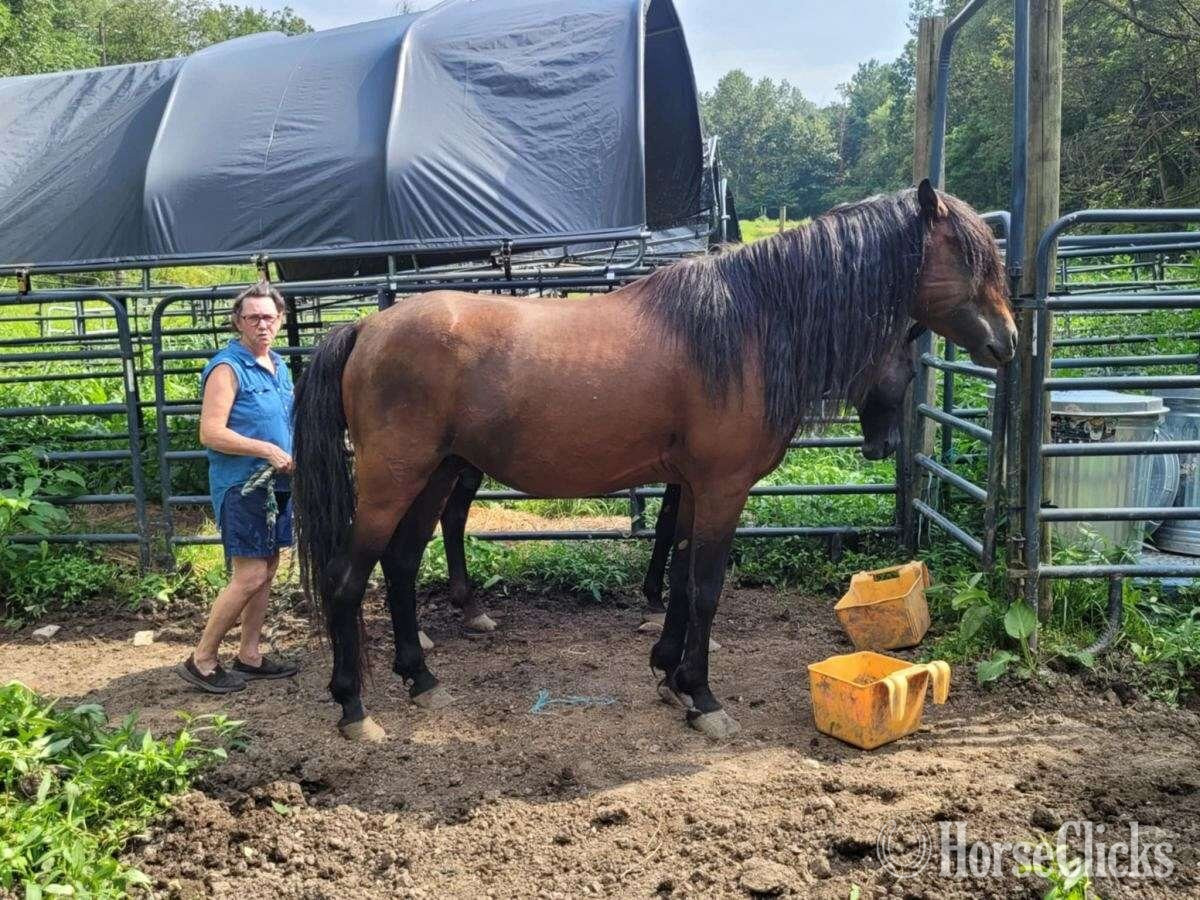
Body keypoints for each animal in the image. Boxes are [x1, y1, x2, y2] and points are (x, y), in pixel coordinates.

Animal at [431, 323, 924, 638]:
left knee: (450, 519)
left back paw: (468, 608)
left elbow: (671, 527)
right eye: (910, 371)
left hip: (463, 463)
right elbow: (670, 528)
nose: (885, 446)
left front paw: (657, 600)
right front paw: (656, 602)